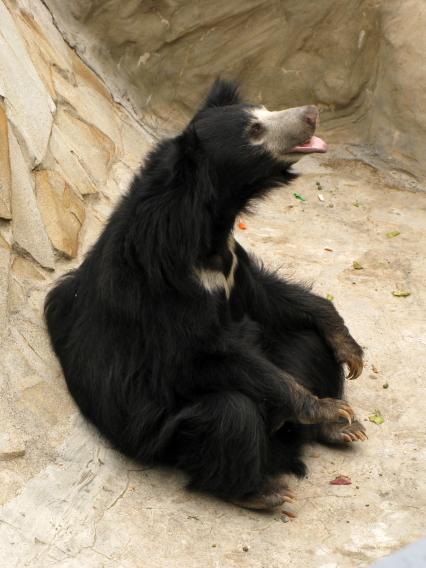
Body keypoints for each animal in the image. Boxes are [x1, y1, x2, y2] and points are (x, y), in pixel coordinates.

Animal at [45, 80, 366, 510]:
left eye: (264, 111)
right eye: (254, 131)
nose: (311, 113)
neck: (207, 225)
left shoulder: (230, 261)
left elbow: (266, 297)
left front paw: (349, 351)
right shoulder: (165, 285)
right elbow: (203, 354)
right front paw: (327, 408)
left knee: (309, 343)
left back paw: (342, 429)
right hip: (167, 436)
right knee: (232, 413)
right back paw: (262, 491)